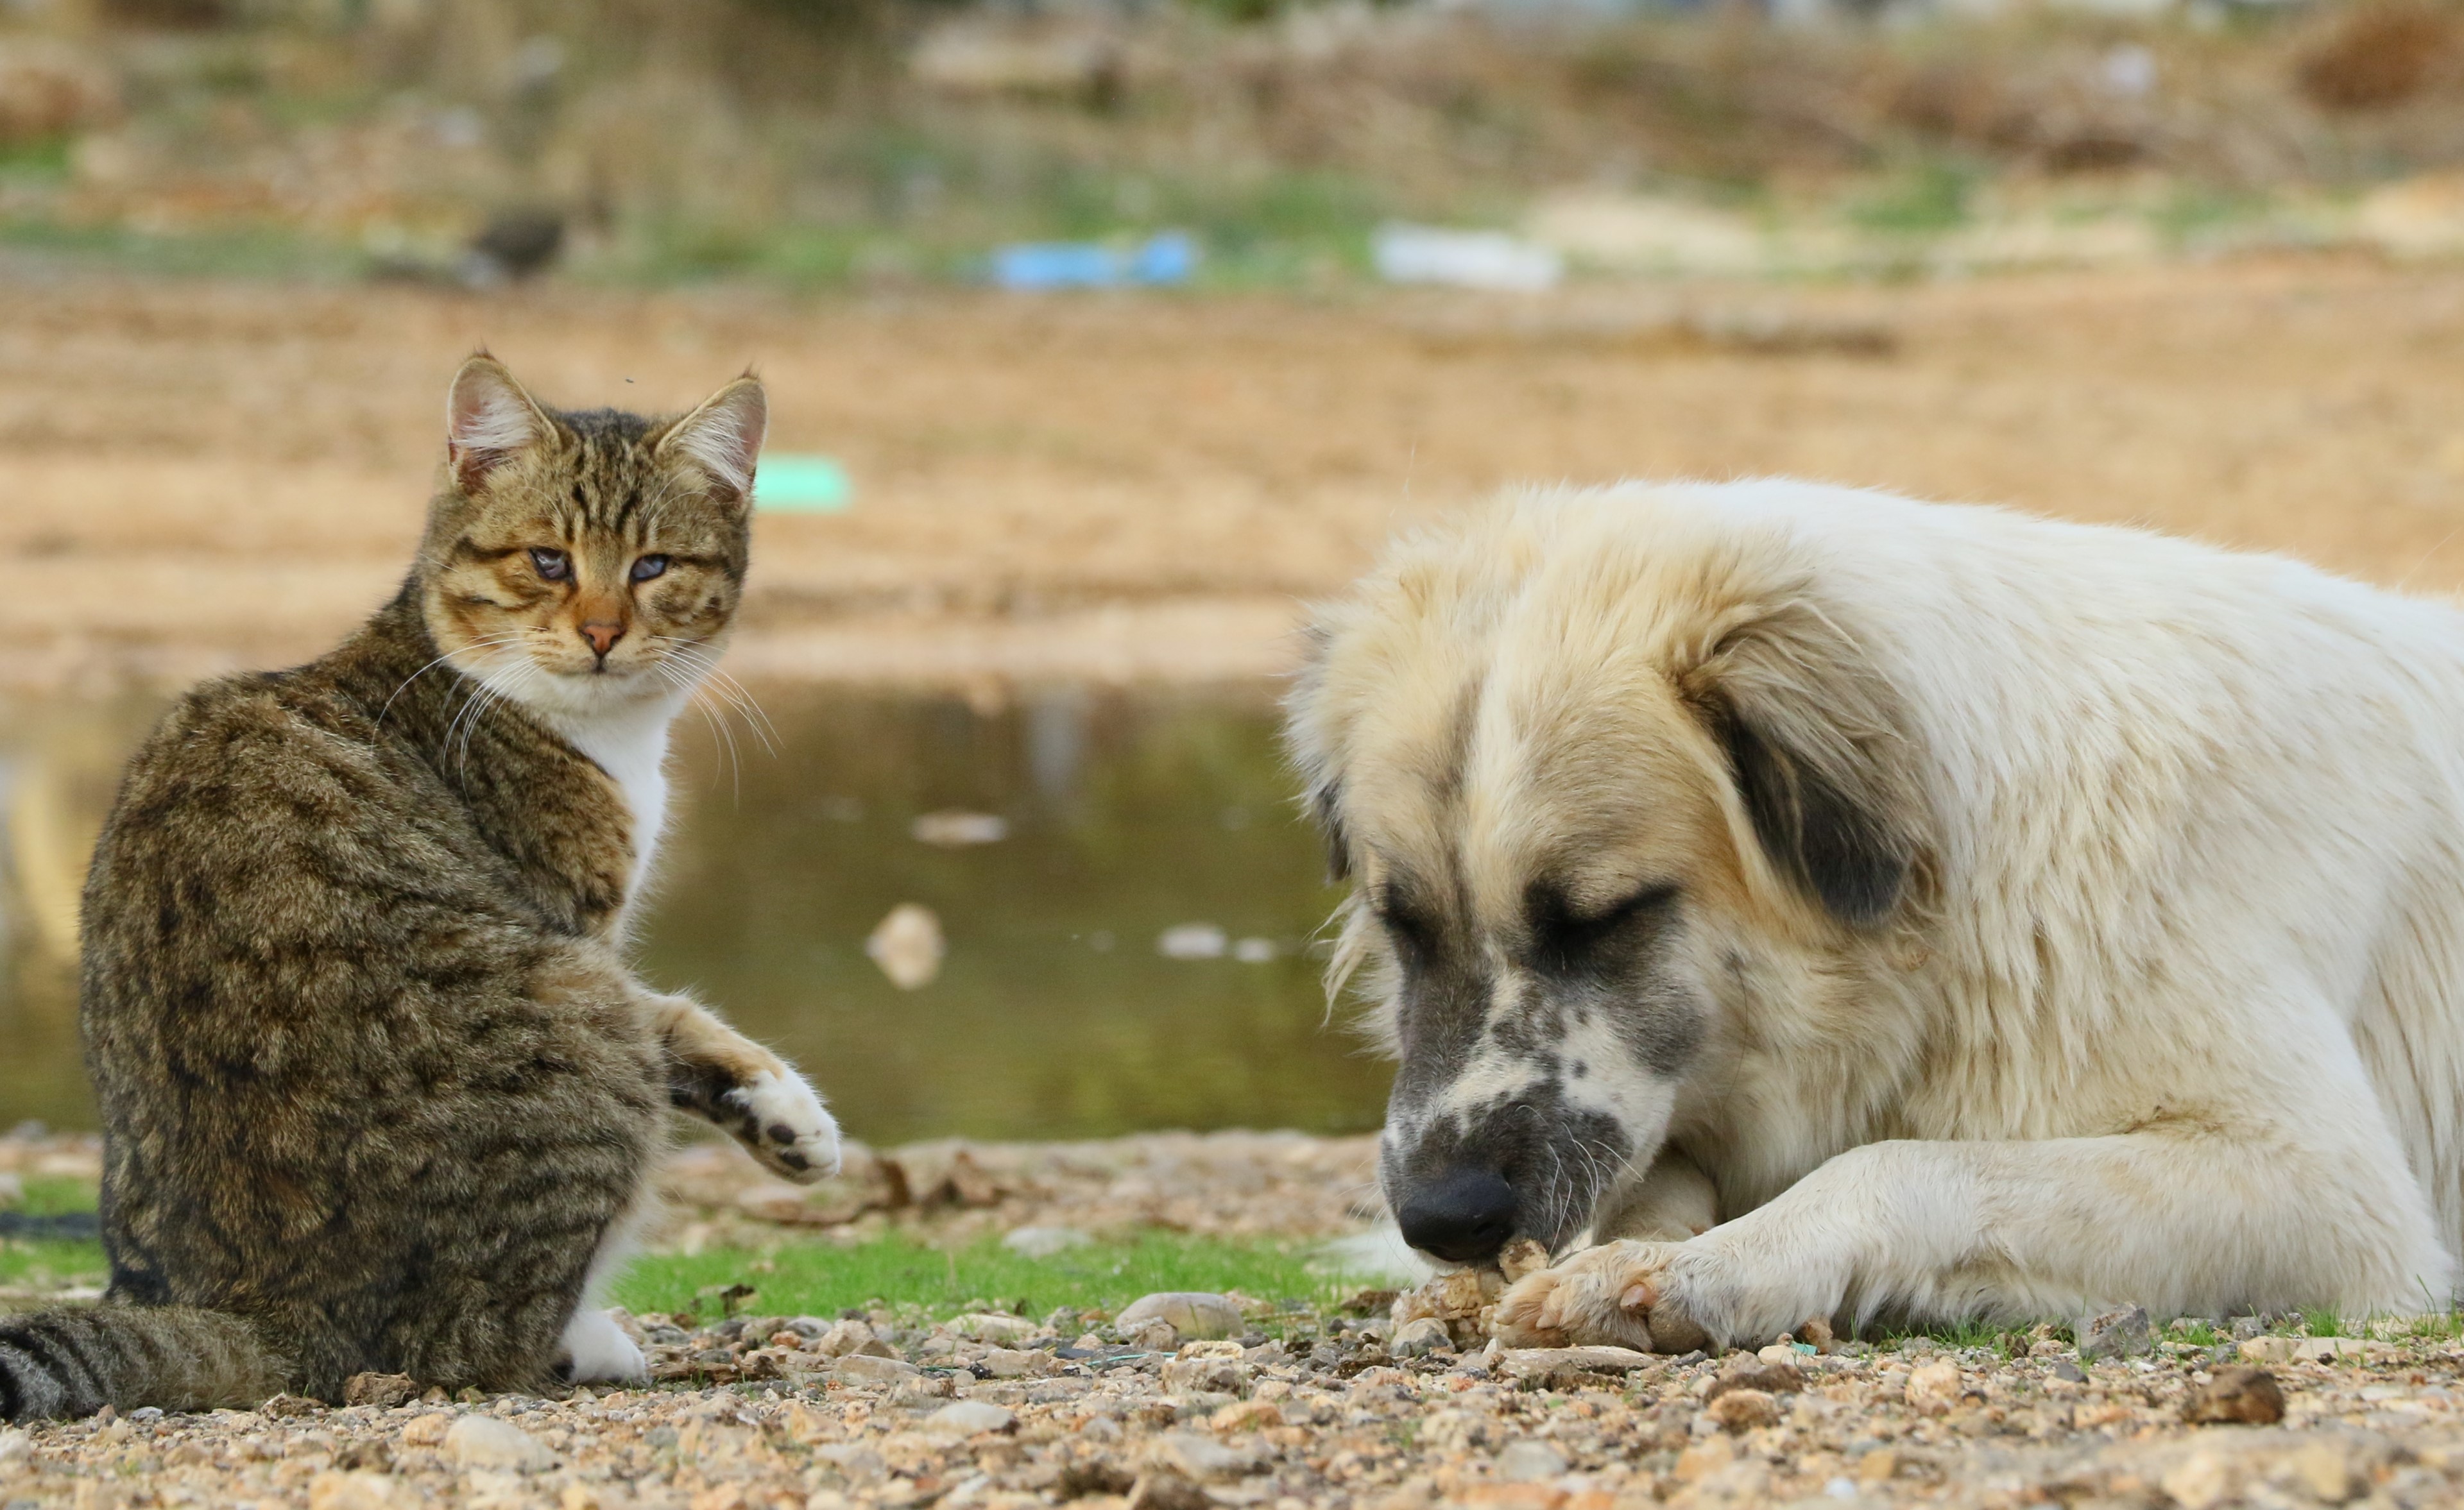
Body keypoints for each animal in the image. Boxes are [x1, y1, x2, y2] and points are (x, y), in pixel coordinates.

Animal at [0, 352, 837, 1409]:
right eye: (548, 560)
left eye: (652, 567)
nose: (603, 632)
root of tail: (261, 1313)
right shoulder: (575, 935)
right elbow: (668, 1016)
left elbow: (685, 1023)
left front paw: (785, 1118)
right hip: (573, 1004)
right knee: (468, 1345)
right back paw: (584, 1341)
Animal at [1291, 480, 2464, 1340]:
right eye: (1407, 927)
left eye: (1603, 917)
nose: (1444, 1217)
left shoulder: (2322, 1184)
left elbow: (1905, 1162)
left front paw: (1719, 1266)